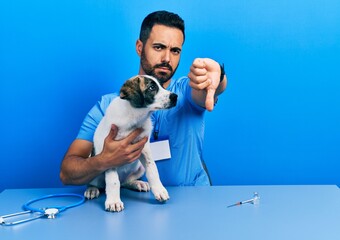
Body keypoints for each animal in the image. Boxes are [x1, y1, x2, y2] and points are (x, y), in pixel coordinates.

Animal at [84, 75, 178, 212]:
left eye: (161, 85)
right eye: (151, 87)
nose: (175, 97)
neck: (135, 117)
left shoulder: (144, 150)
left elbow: (153, 171)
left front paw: (159, 190)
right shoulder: (109, 155)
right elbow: (113, 181)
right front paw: (114, 201)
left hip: (139, 168)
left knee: (124, 182)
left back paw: (137, 183)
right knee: (99, 182)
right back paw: (91, 189)